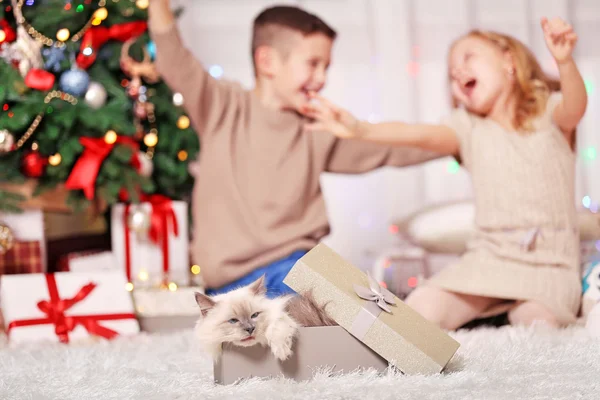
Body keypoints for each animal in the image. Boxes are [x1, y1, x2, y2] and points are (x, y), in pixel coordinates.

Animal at [193, 276, 336, 360]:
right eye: (233, 321)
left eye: (254, 315)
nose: (250, 329)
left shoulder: (285, 318)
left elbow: (277, 328)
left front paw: (281, 352)